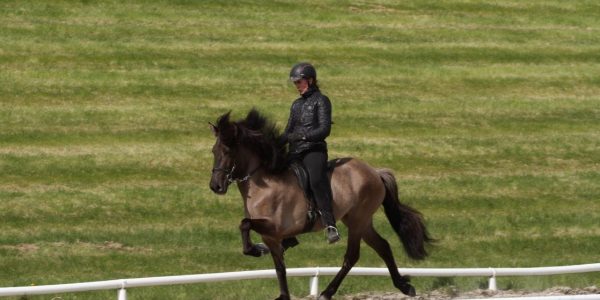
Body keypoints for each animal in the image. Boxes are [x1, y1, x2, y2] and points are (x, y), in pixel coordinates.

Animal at [209, 108, 434, 300]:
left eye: (228, 151)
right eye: (214, 151)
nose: (215, 186)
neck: (265, 182)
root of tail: (375, 172)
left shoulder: (274, 227)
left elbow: (244, 223)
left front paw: (255, 250)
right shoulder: (271, 236)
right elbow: (279, 267)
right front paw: (282, 293)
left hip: (357, 221)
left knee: (352, 256)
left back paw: (327, 292)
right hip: (360, 221)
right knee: (383, 246)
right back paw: (404, 286)